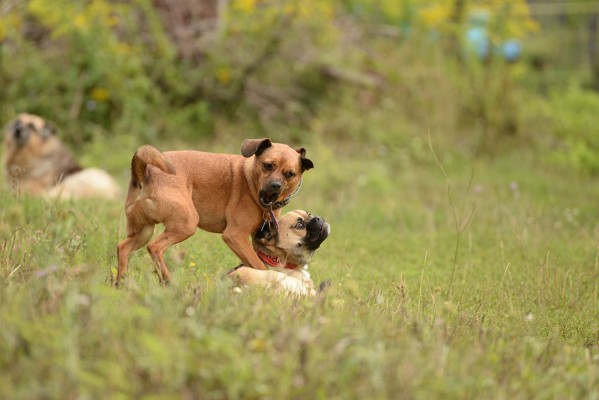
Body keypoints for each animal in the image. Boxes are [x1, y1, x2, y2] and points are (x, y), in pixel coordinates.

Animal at [115, 138, 316, 284]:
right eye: (268, 165)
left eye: (289, 174)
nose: (275, 185)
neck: (251, 182)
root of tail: (145, 172)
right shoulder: (235, 236)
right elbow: (259, 266)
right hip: (186, 224)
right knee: (154, 248)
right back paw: (167, 281)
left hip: (144, 231)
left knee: (123, 248)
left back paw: (121, 284)